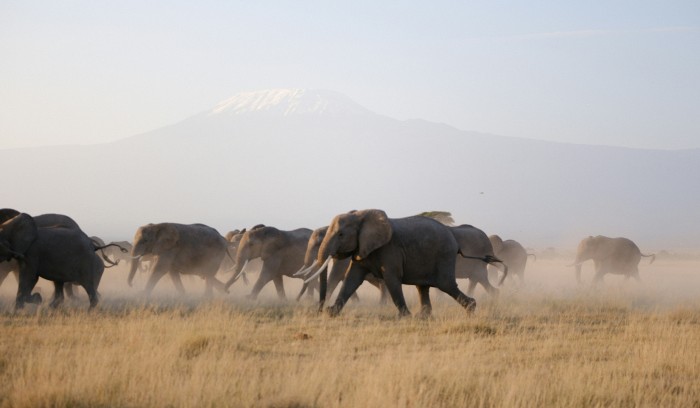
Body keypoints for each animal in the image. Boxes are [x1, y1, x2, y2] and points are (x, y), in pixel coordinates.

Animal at [310, 209, 476, 318]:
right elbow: (352, 278)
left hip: (444, 255)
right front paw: (332, 313)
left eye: (341, 235)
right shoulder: (362, 247)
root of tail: (454, 237)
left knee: (445, 284)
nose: (320, 311)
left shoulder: (390, 249)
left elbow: (391, 279)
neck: (360, 216)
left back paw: (471, 308)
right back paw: (423, 317)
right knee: (422, 287)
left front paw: (405, 317)